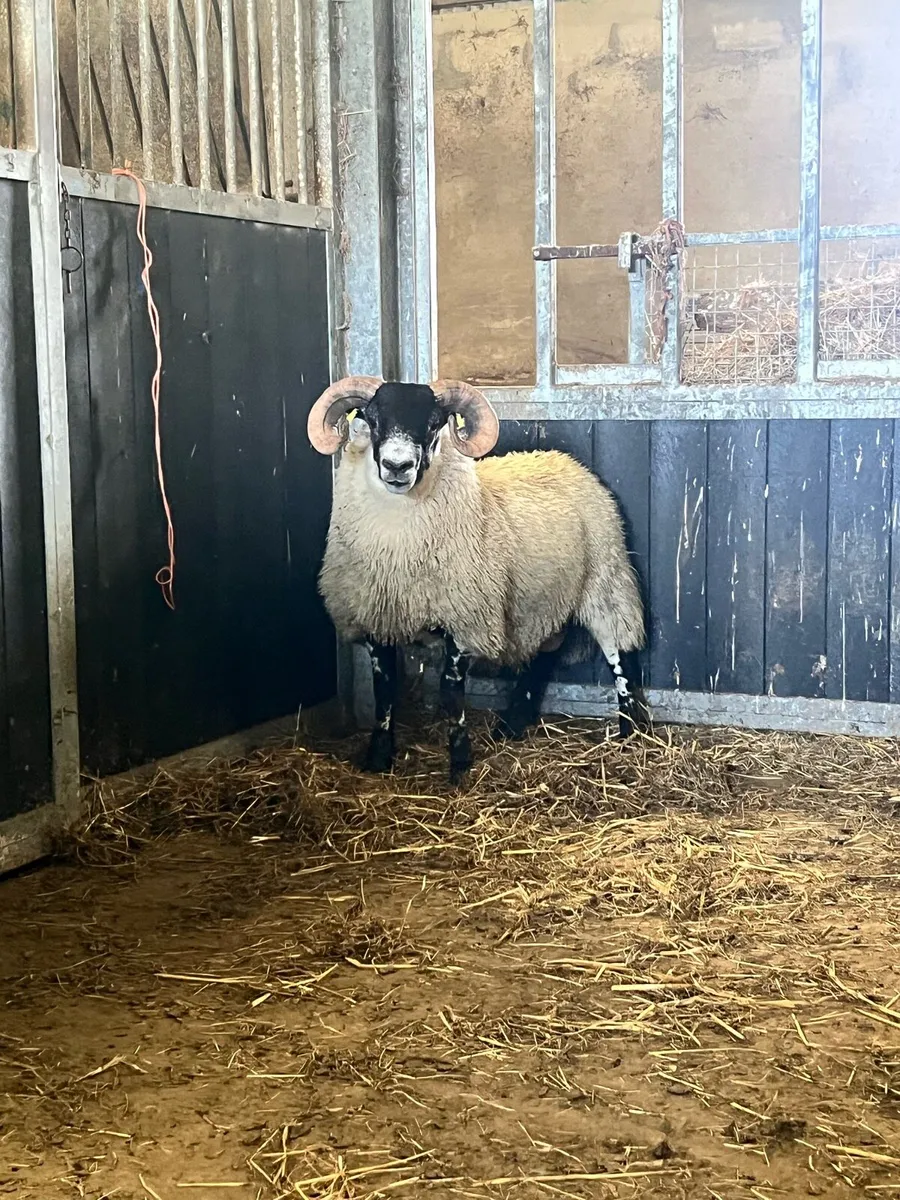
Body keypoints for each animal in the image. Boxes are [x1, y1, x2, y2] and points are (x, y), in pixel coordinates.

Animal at [307, 376, 650, 782]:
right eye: (372, 419)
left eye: (434, 422)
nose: (397, 465)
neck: (400, 552)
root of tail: (563, 460)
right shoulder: (378, 620)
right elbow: (384, 694)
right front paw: (378, 758)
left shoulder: (466, 621)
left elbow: (451, 694)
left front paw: (459, 764)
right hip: (544, 597)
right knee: (545, 654)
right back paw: (513, 723)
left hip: (606, 578)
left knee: (620, 652)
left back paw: (630, 731)